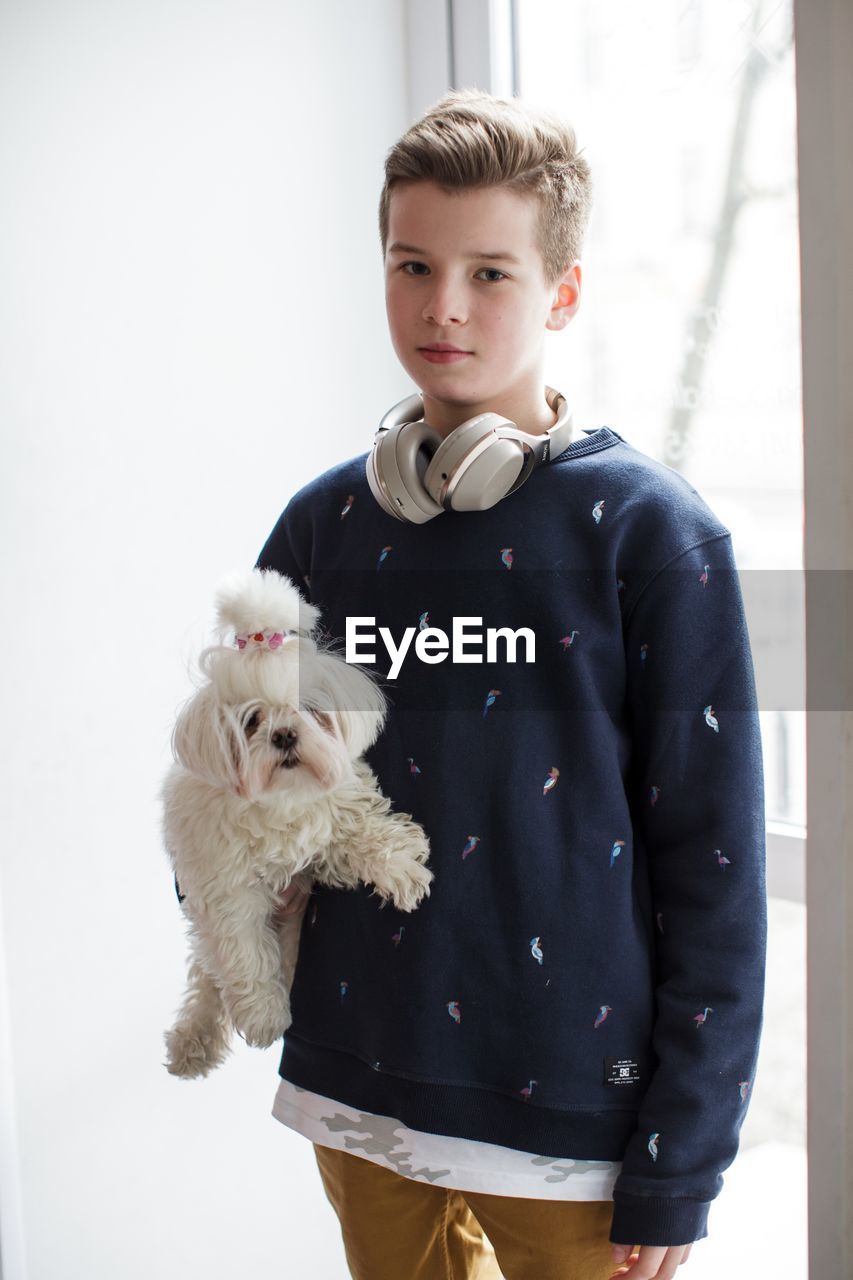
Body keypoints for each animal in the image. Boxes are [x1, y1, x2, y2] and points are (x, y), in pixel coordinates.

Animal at [163, 570, 432, 1080]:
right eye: (251, 720)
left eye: (309, 709)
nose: (285, 735)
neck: (281, 802)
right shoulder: (226, 887)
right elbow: (244, 951)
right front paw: (264, 1016)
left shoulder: (334, 815)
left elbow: (363, 832)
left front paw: (401, 870)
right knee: (209, 977)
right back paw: (194, 1041)